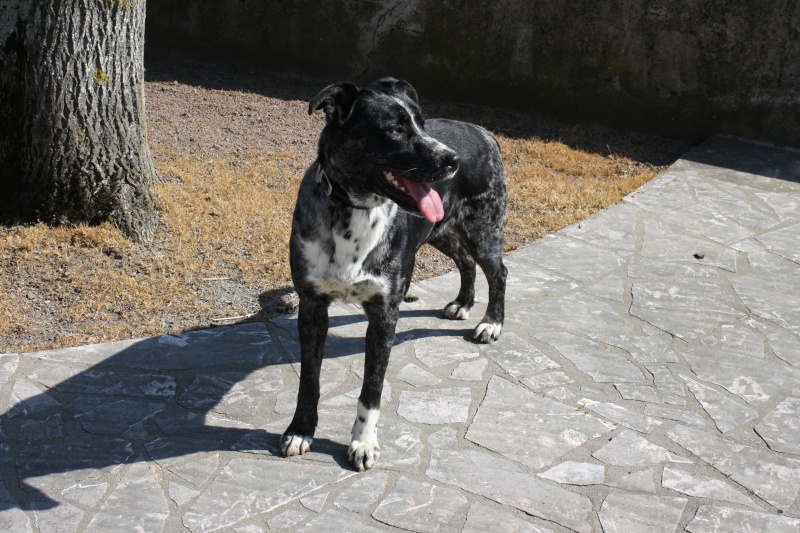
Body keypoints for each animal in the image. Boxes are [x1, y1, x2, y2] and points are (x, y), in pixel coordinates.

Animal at [282, 77, 506, 468]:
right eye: (396, 130)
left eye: (422, 123)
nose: (453, 160)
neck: (354, 208)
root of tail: (483, 131)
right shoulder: (312, 306)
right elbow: (309, 379)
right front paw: (301, 429)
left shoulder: (385, 313)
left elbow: (371, 388)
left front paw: (363, 442)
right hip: (441, 230)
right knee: (465, 261)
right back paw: (463, 303)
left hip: (483, 230)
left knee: (499, 272)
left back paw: (492, 322)